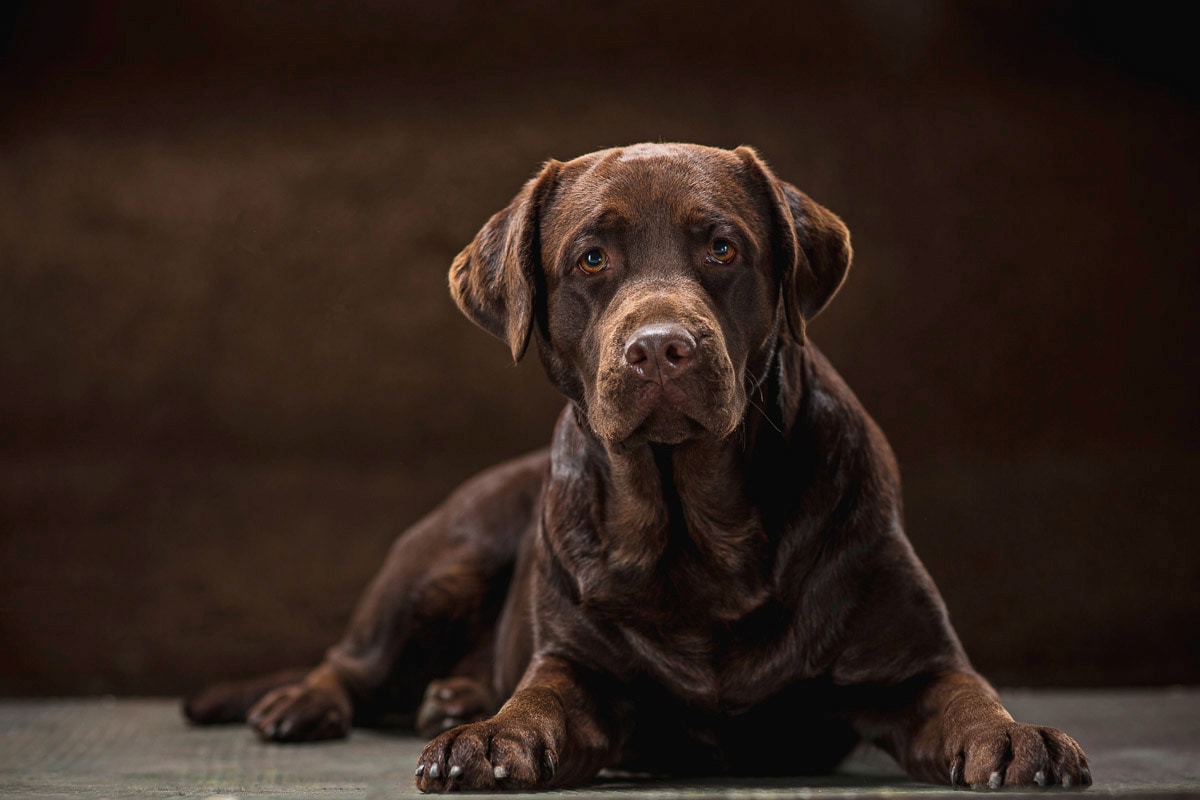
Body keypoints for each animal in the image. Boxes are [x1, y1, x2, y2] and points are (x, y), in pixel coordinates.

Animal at [182, 142, 1094, 786]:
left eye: (723, 247)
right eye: (591, 258)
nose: (661, 347)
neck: (698, 532)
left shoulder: (912, 664)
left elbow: (968, 696)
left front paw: (1017, 738)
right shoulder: (581, 667)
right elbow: (539, 698)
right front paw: (490, 736)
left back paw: (453, 692)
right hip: (442, 557)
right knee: (351, 661)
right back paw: (311, 703)